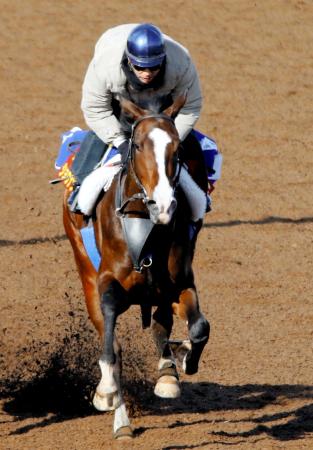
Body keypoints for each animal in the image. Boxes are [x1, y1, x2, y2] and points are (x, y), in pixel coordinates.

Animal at [62, 96, 210, 440]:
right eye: (139, 145)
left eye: (177, 149)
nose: (164, 205)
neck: (144, 220)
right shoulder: (106, 283)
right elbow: (112, 345)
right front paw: (105, 393)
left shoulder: (180, 283)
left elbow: (198, 327)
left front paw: (181, 363)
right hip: (84, 271)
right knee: (114, 343)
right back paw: (120, 420)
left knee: (161, 323)